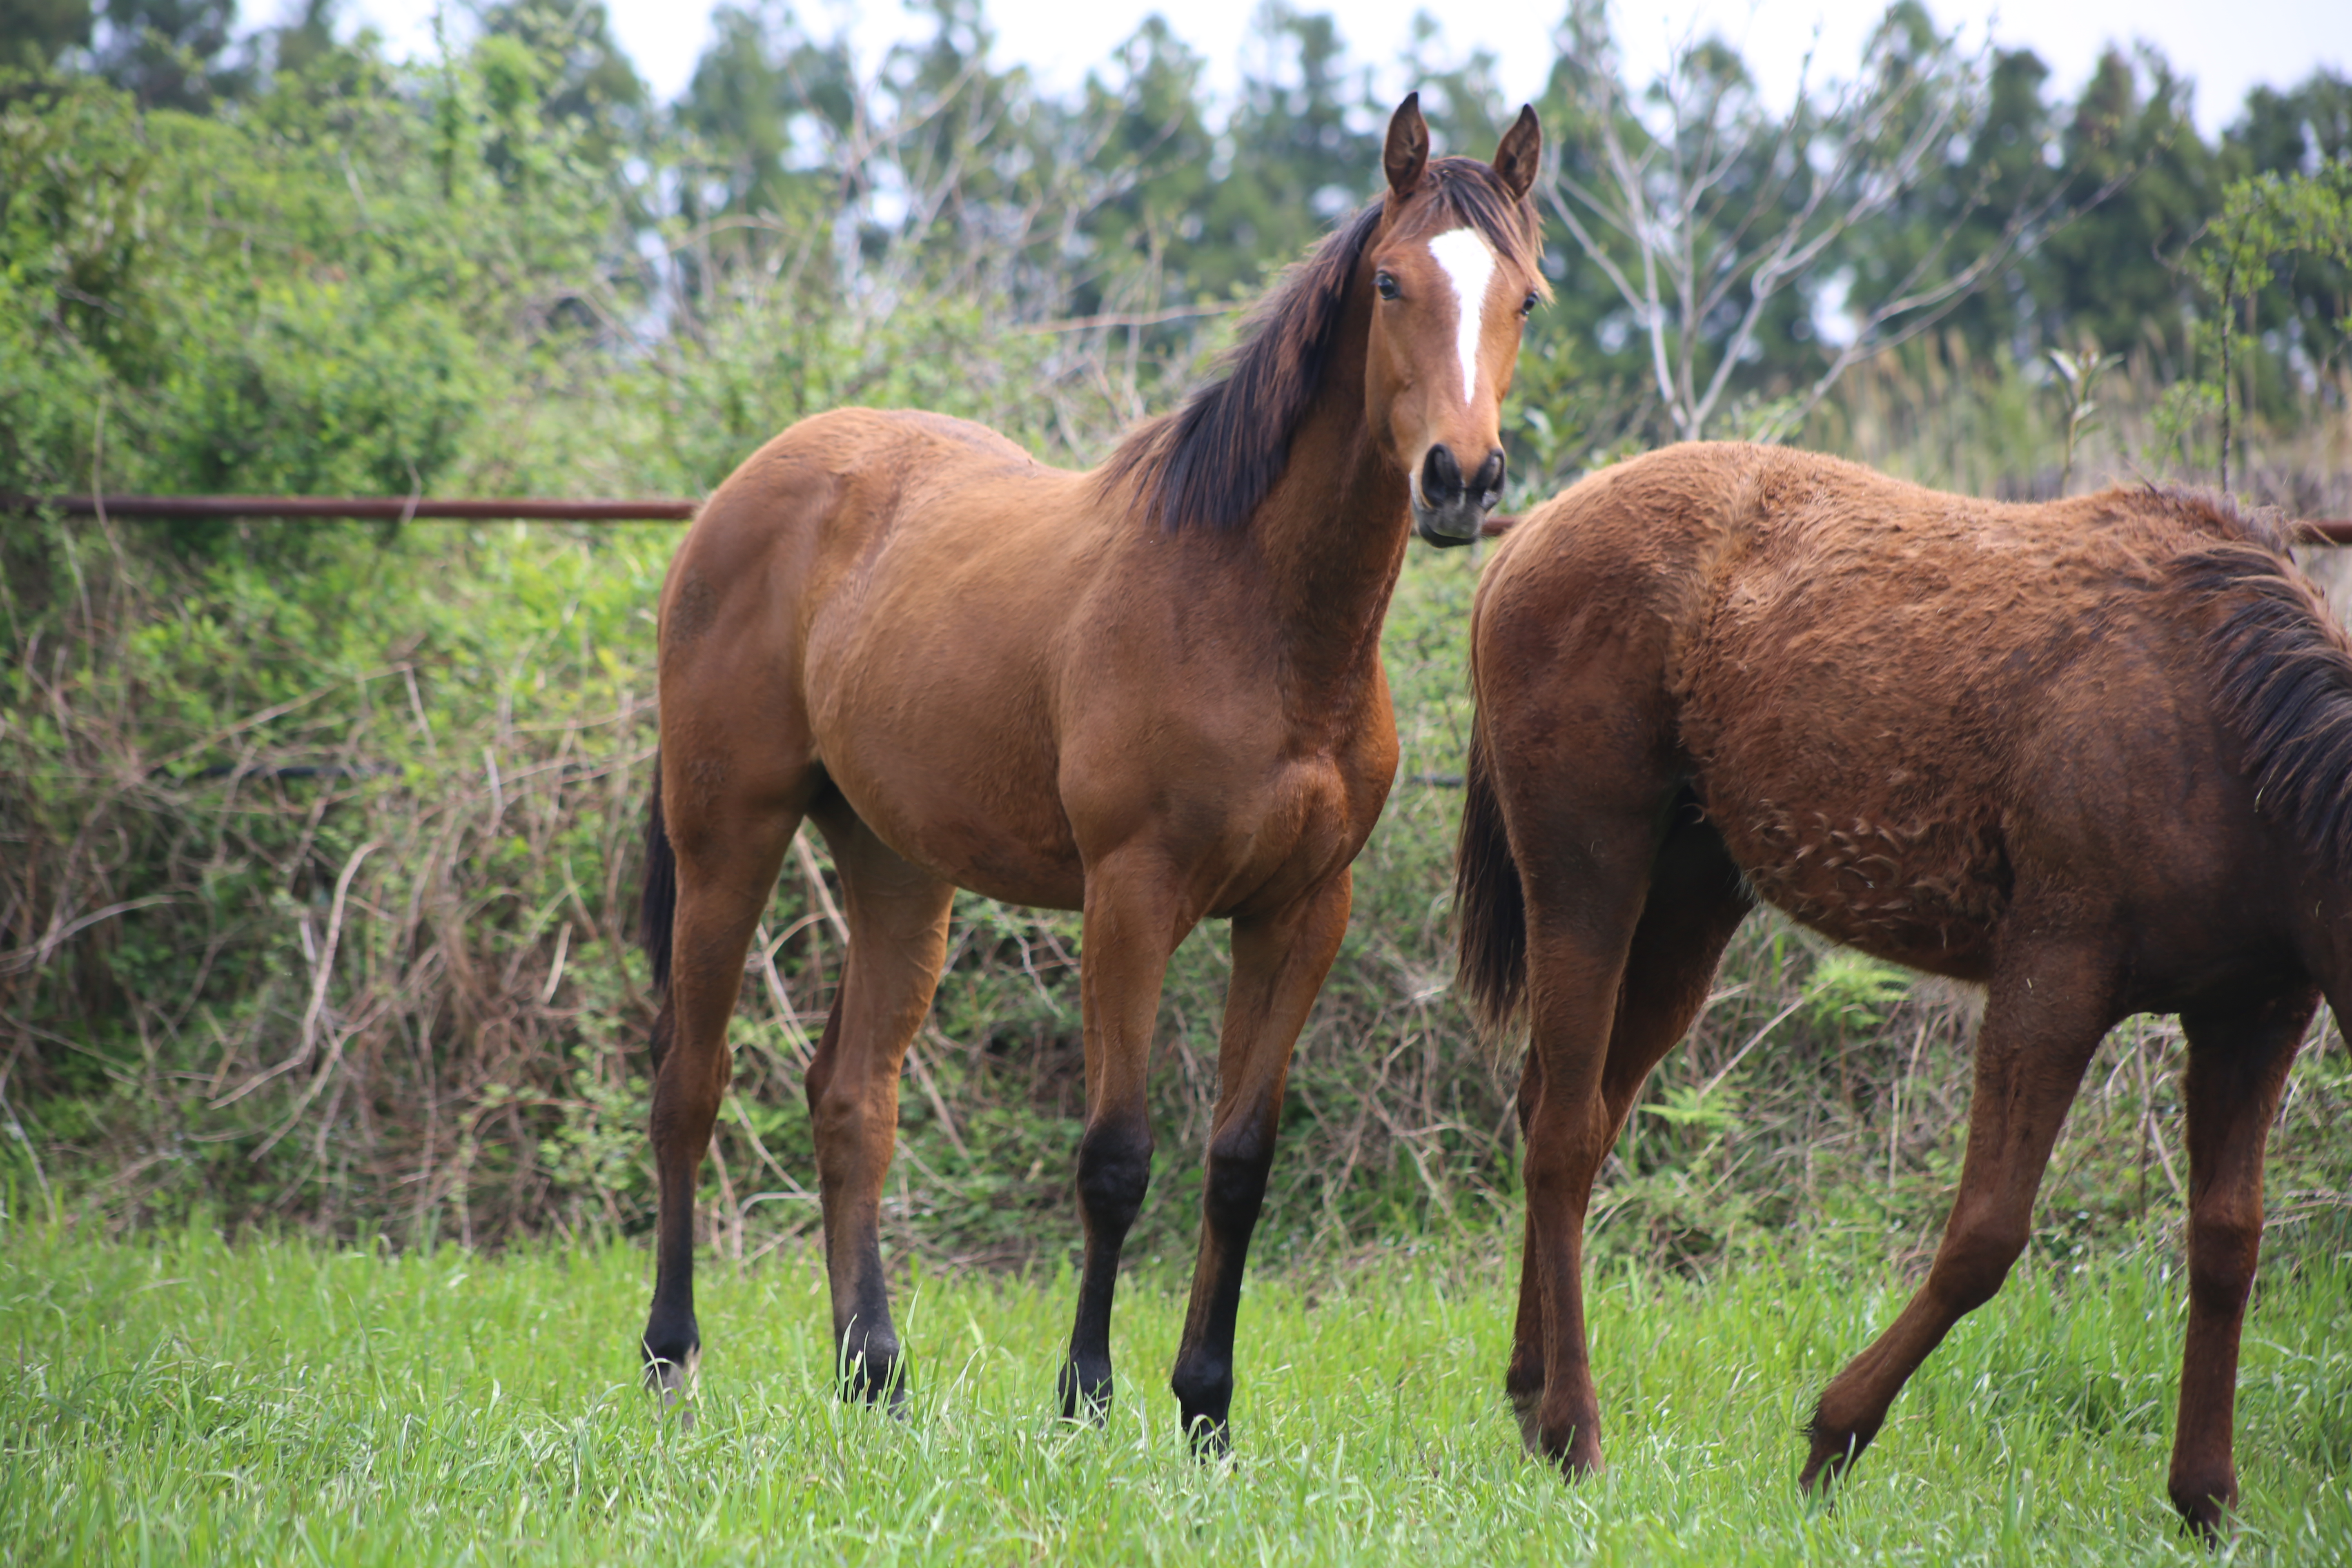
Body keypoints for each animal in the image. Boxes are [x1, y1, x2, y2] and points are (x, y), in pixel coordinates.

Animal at [635, 95, 1552, 1448]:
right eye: (1392, 282)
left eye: (1527, 297)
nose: (1461, 476)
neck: (1255, 611)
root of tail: (743, 494)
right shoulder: (1133, 898)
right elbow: (1118, 1156)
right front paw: (1086, 1394)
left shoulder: (1301, 912)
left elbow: (1240, 1162)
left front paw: (1206, 1408)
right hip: (728, 836)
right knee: (689, 1087)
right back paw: (672, 1358)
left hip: (898, 868)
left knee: (854, 1097)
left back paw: (875, 1373)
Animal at [1449, 439, 2352, 1532]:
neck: (2244, 754)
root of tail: (1521, 539)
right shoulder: (2053, 973)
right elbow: (1984, 1236)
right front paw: (1834, 1433)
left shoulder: (2255, 1012)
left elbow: (2226, 1241)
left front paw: (2205, 1495)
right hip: (1586, 872)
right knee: (1562, 1136)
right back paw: (1572, 1428)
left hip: (1686, 907)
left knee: (1564, 1103)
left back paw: (1527, 1386)